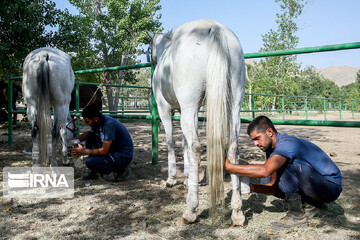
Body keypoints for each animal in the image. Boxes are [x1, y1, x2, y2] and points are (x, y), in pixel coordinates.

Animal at [148, 19, 249, 225]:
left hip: (190, 105)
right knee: (233, 147)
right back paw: (237, 212)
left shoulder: (166, 109)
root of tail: (214, 28)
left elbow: (172, 142)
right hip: (233, 105)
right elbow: (184, 144)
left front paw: (172, 179)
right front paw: (188, 178)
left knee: (196, 148)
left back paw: (190, 210)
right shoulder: (183, 110)